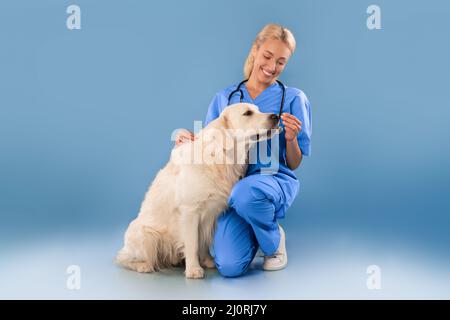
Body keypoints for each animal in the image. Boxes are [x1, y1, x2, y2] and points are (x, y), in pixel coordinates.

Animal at [114, 102, 280, 278]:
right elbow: (192, 243)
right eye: (247, 113)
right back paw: (143, 265)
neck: (220, 157)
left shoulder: (211, 215)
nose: (276, 116)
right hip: (146, 236)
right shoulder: (190, 212)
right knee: (123, 258)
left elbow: (203, 242)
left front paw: (207, 261)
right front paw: (193, 269)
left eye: (258, 109)